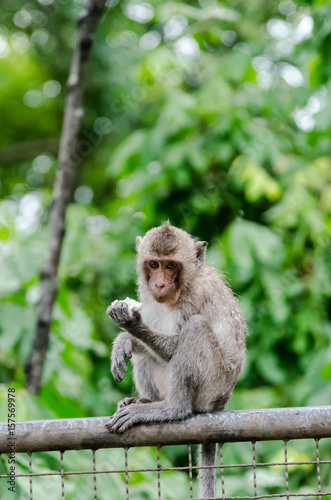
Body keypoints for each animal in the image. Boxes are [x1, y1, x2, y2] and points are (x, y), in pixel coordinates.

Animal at [105, 223, 246, 500]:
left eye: (171, 266)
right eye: (153, 264)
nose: (159, 284)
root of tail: (220, 403)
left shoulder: (197, 296)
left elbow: (173, 348)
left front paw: (131, 325)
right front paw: (123, 342)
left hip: (212, 386)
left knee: (197, 327)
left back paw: (172, 408)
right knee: (146, 356)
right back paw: (145, 401)